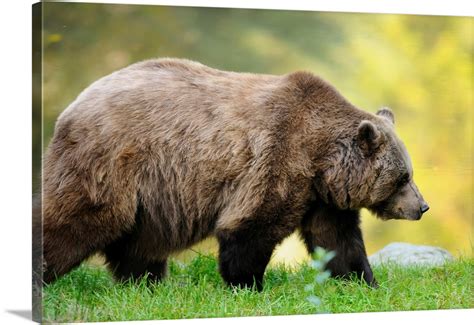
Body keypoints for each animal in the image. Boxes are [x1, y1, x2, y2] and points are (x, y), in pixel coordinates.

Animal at [40, 57, 430, 288]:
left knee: (138, 242)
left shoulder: (321, 196)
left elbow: (337, 239)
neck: (320, 160)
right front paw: (248, 283)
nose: (422, 206)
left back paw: (145, 282)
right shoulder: (278, 158)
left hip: (149, 196)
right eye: (403, 177)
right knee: (77, 218)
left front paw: (363, 281)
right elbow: (250, 226)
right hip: (113, 161)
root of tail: (77, 102)